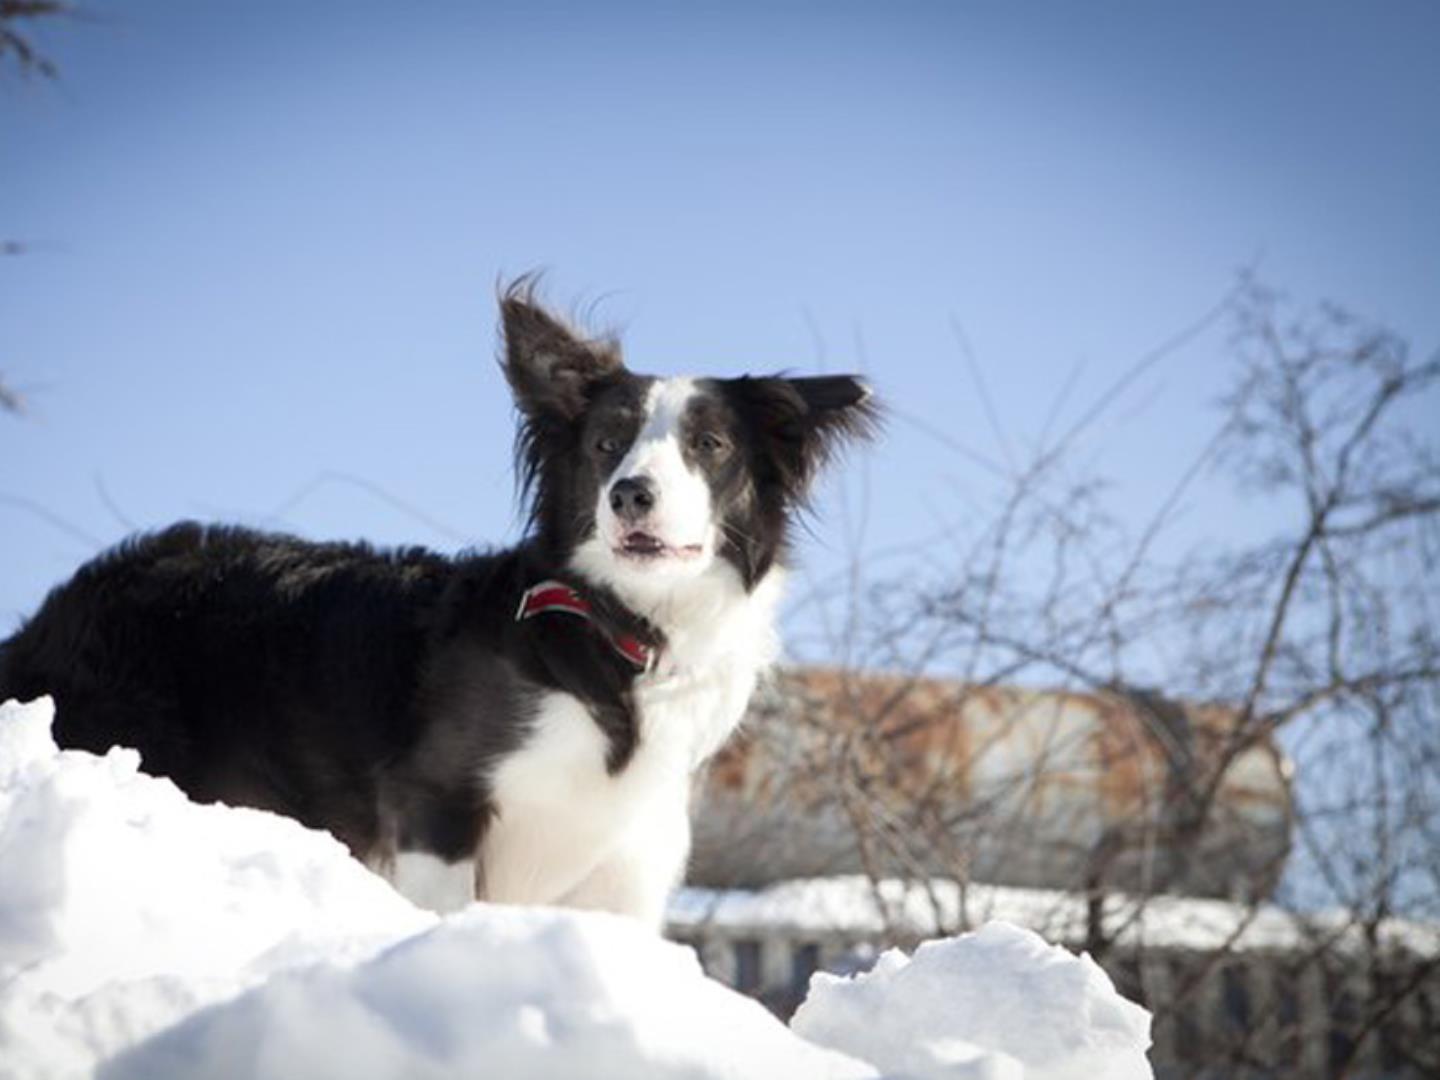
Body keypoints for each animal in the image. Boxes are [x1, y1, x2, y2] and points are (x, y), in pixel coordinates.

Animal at [0, 280, 875, 933]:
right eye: (605, 445)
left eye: (709, 446)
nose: (631, 494)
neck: (615, 631)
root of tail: (59, 608)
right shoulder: (436, 806)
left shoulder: (624, 862)